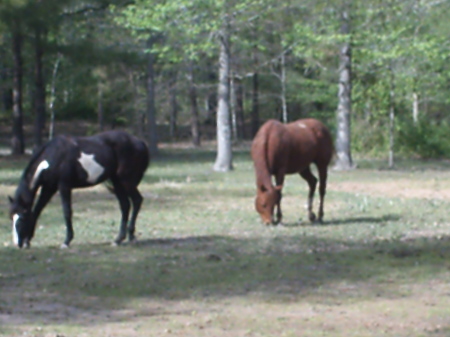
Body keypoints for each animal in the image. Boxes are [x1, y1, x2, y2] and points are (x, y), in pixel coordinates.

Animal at [9, 130, 149, 248]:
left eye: (22, 219)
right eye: (12, 218)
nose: (18, 243)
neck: (54, 156)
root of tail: (139, 142)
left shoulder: (64, 186)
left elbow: (67, 211)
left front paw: (66, 241)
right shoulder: (49, 188)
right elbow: (37, 210)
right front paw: (28, 241)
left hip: (126, 181)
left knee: (137, 200)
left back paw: (131, 236)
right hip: (117, 182)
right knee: (125, 205)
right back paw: (119, 239)